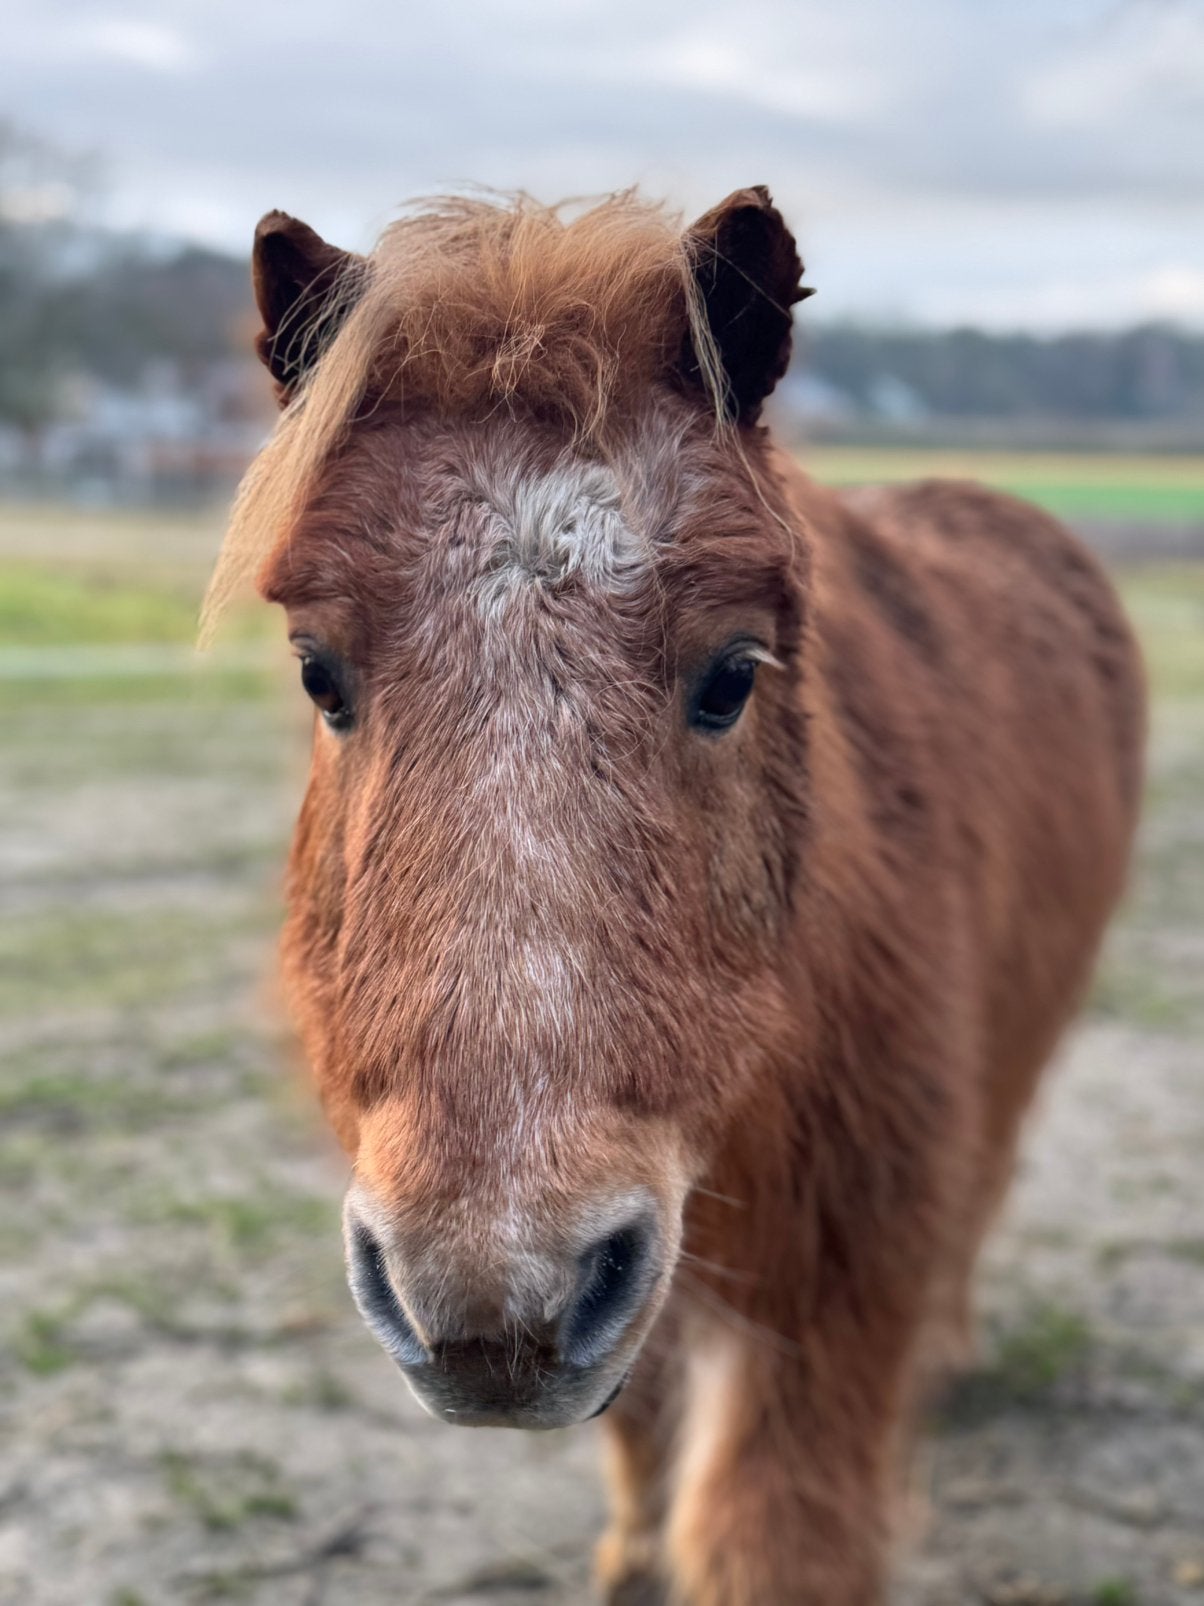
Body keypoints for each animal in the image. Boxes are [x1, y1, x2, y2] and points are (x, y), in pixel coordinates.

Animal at [205, 187, 1145, 1604]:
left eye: (733, 674)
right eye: (319, 671)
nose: (495, 1301)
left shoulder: (828, 1307)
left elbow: (774, 1532)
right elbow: (641, 1429)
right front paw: (635, 1557)